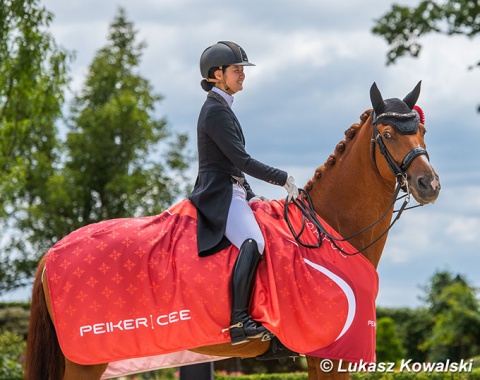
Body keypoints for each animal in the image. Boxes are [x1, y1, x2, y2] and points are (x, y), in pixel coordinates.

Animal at [24, 81, 440, 378]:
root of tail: (51, 254)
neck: (330, 227)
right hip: (85, 358)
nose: (429, 185)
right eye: (387, 134)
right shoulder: (328, 354)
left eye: (421, 131)